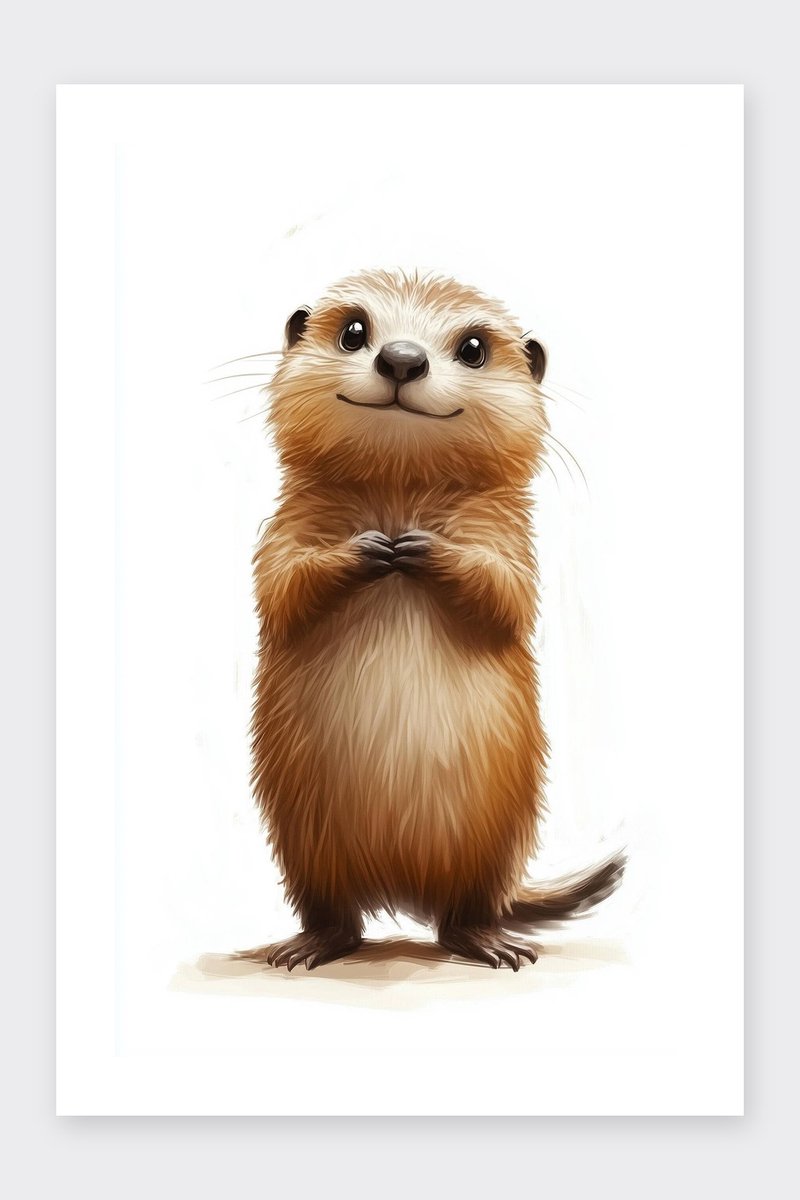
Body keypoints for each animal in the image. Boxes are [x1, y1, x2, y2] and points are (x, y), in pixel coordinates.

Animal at [250, 268, 624, 971]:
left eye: (474, 347)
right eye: (354, 330)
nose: (401, 359)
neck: (400, 489)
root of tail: (402, 894)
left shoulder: (510, 538)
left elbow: (505, 592)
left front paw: (421, 547)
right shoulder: (285, 527)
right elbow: (282, 585)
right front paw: (371, 549)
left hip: (491, 843)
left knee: (463, 916)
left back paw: (495, 945)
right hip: (304, 846)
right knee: (337, 918)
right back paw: (305, 947)